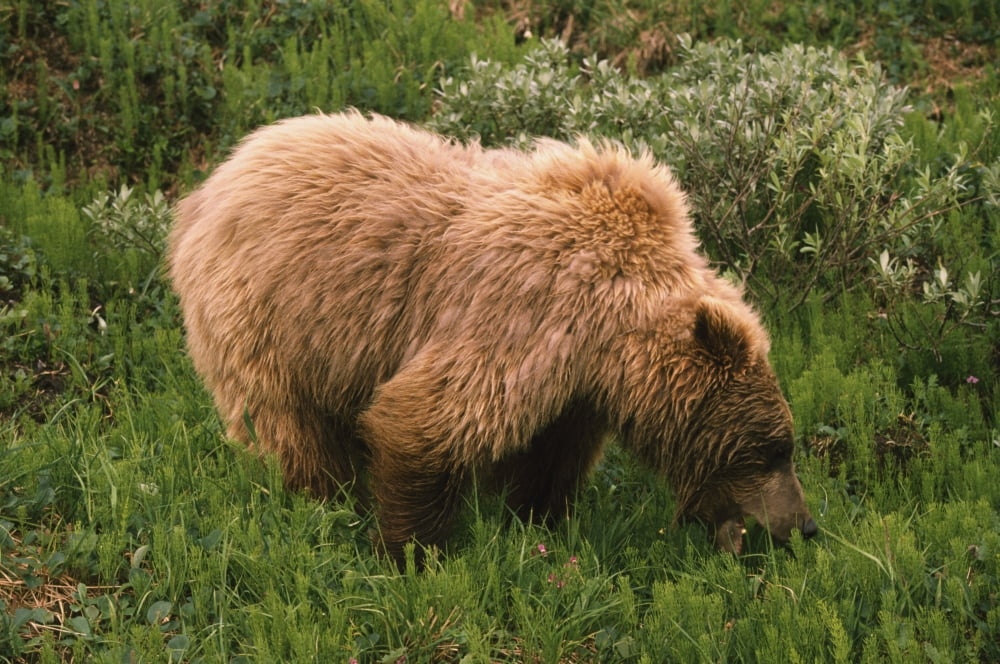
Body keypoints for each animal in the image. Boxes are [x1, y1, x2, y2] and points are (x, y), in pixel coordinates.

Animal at [168, 111, 817, 562]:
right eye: (771, 449)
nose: (806, 525)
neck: (609, 334)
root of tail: (211, 183)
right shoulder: (526, 311)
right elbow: (426, 419)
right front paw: (409, 551)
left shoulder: (576, 383)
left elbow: (551, 454)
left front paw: (538, 520)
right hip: (270, 317)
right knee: (291, 424)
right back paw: (323, 499)